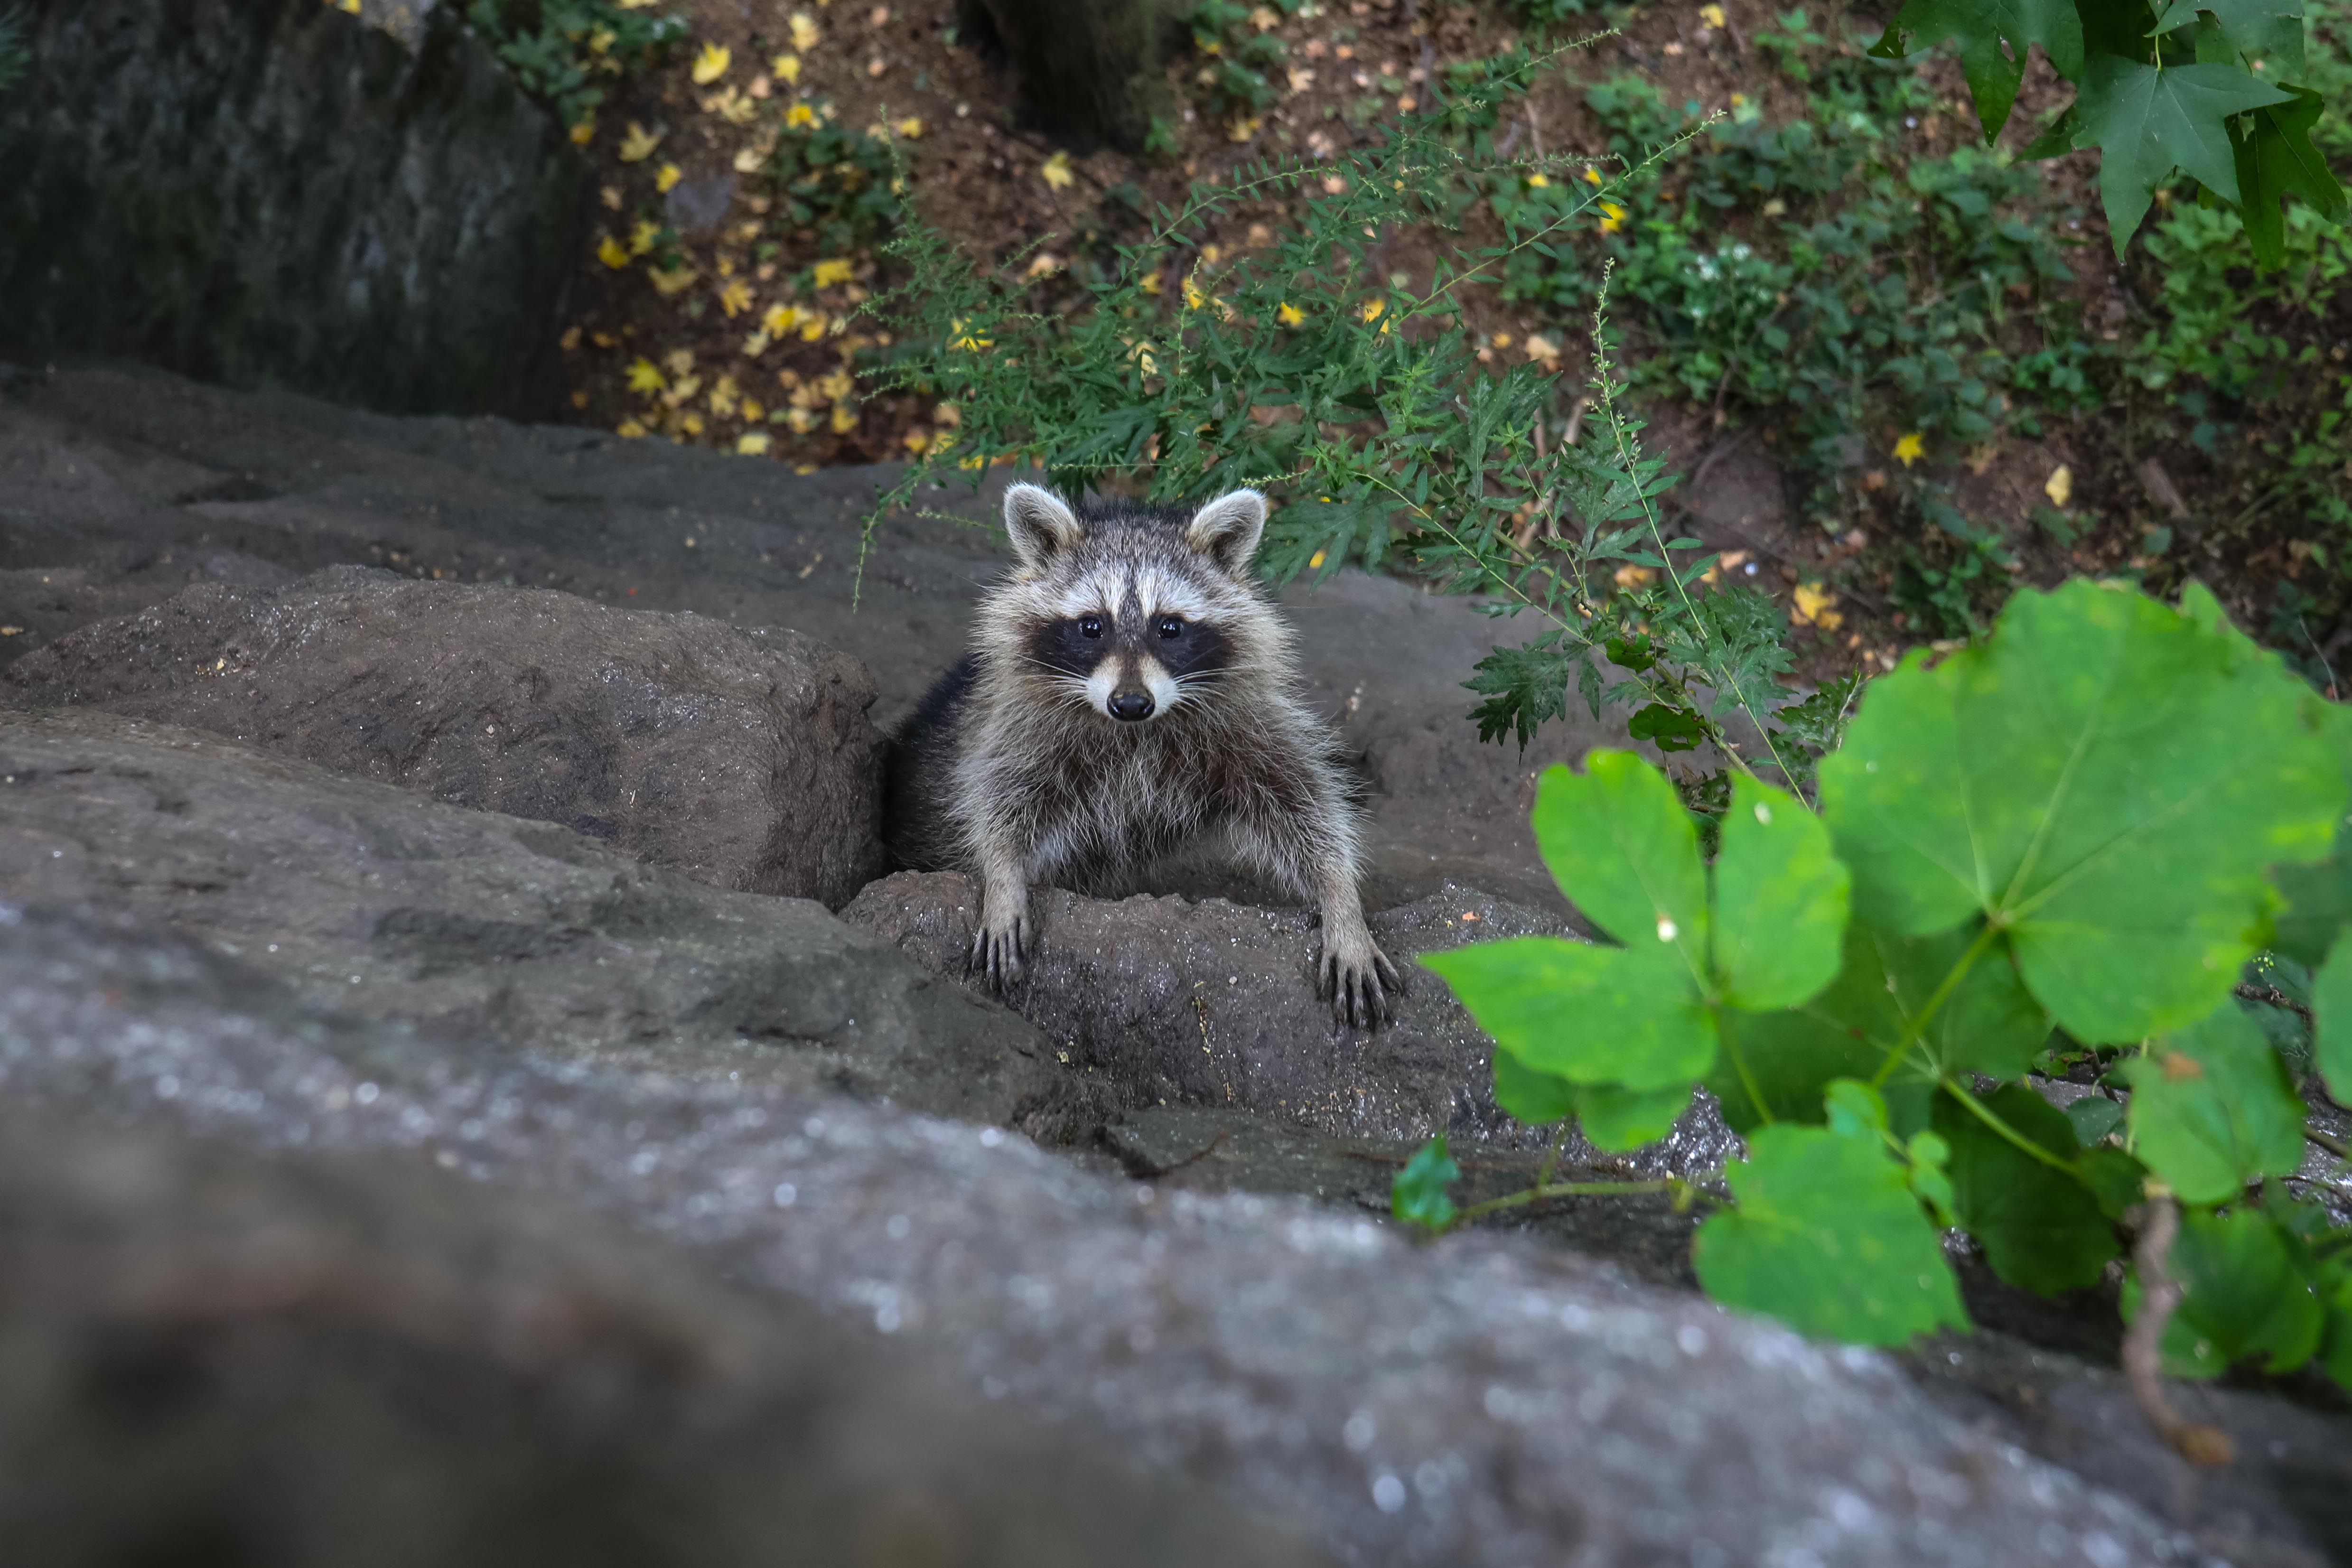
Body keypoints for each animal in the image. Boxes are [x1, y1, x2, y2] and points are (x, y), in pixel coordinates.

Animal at [885, 483, 1403, 1025]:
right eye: (1092, 626)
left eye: (1169, 627)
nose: (1131, 703)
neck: (1135, 732)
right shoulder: (1019, 724)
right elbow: (999, 796)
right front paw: (1002, 877)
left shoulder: (1241, 721)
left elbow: (1302, 805)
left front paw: (1342, 899)